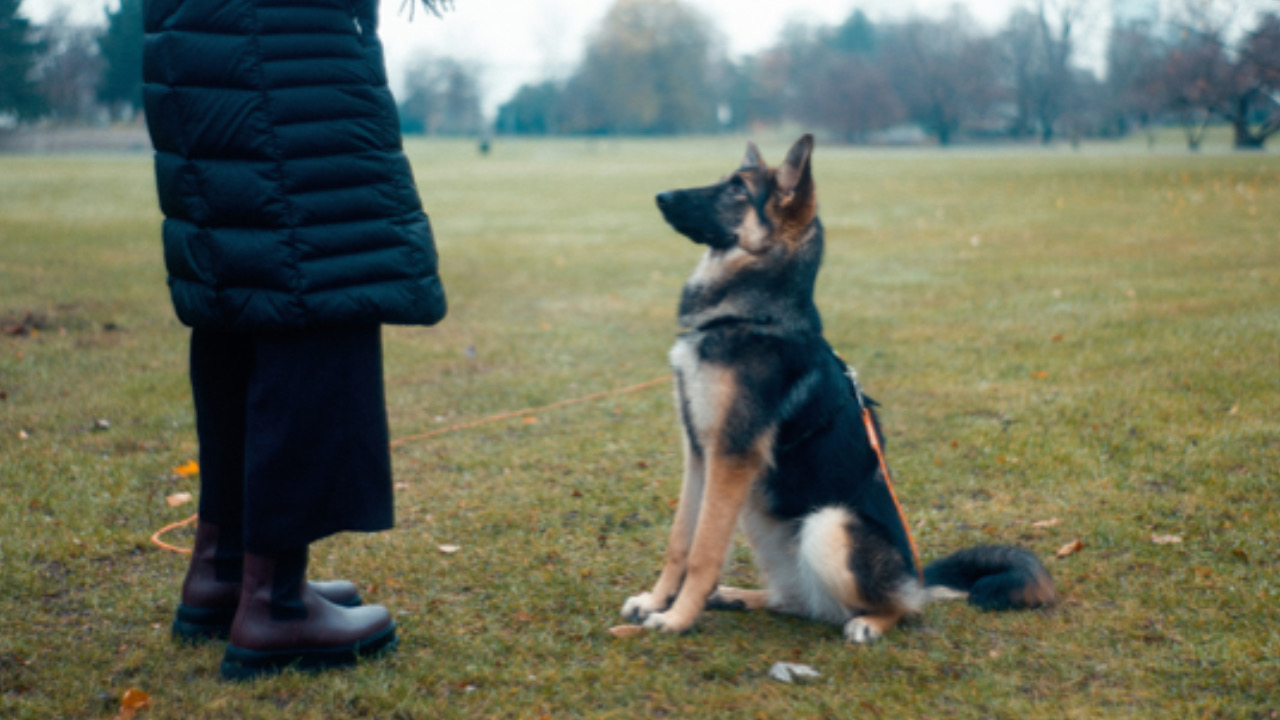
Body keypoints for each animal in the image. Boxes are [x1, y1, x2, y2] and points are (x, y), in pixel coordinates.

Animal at [616, 134, 1049, 638]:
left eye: (737, 189)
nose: (661, 197)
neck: (751, 314)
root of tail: (916, 577)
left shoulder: (731, 456)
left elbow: (703, 552)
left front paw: (677, 618)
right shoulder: (700, 453)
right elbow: (680, 541)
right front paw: (655, 601)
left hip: (828, 524)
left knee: (902, 607)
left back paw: (871, 622)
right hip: (762, 519)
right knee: (796, 600)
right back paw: (739, 596)